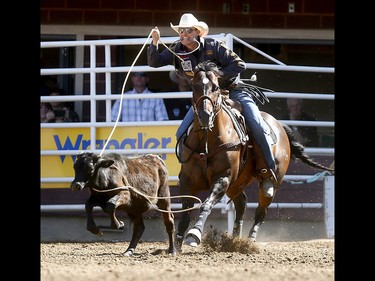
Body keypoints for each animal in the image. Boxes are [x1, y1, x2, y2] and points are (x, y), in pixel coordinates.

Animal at [176, 60, 334, 250]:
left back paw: (250, 239)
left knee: (261, 211)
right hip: (237, 183)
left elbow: (206, 204)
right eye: (194, 87)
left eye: (215, 87)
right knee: (241, 203)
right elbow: (184, 213)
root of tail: (280, 125)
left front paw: (194, 234)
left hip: (269, 184)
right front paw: (176, 242)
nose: (205, 115)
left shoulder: (223, 178)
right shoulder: (187, 180)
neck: (208, 141)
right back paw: (234, 239)